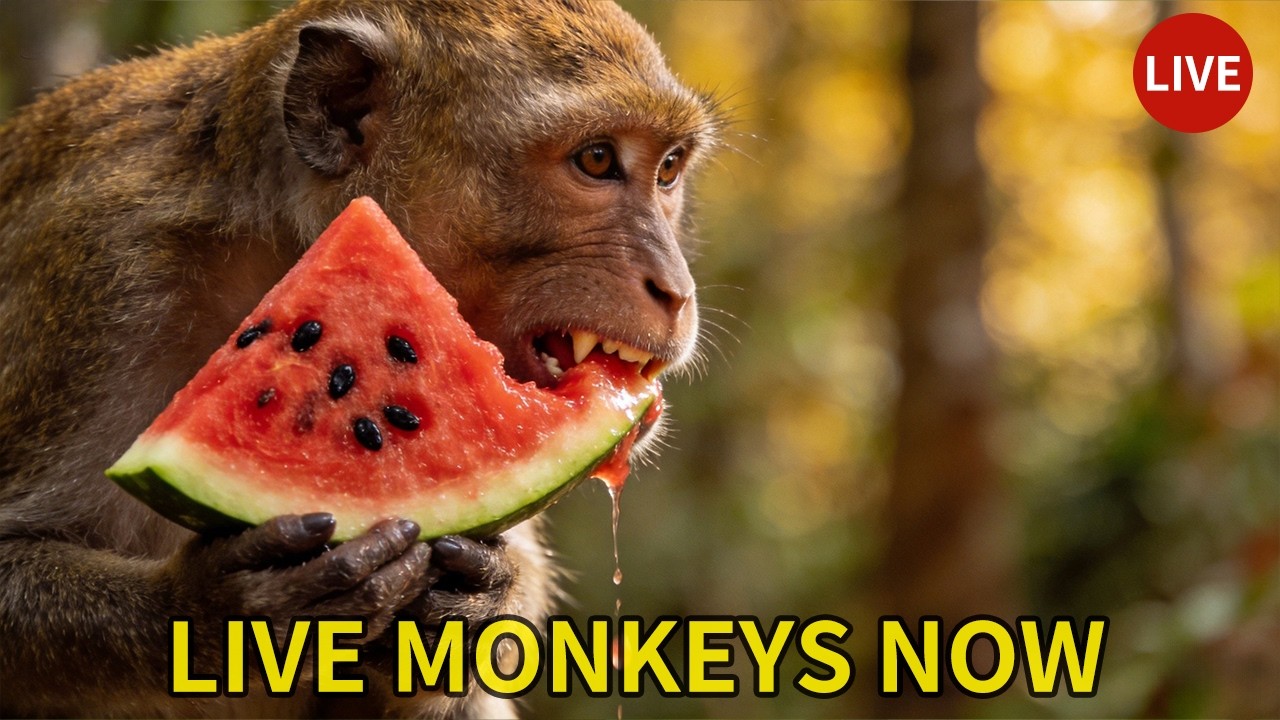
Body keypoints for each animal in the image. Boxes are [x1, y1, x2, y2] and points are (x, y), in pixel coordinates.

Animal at [0, 0, 720, 716]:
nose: (675, 289)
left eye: (668, 169)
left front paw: (490, 595)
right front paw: (223, 610)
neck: (278, 241)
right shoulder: (100, 273)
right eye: (596, 159)